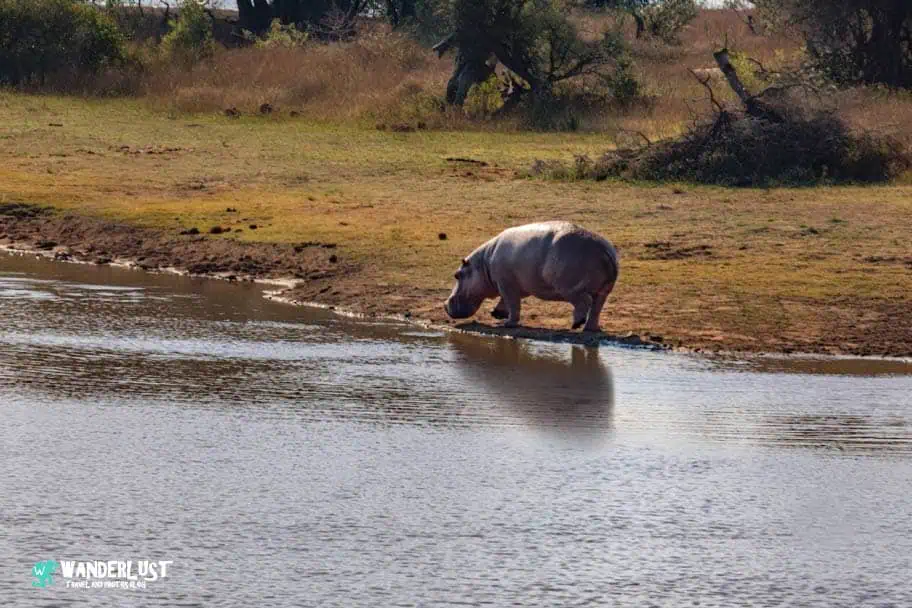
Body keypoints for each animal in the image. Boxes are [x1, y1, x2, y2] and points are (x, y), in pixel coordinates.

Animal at [444, 222, 619, 331]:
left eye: (457, 275)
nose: (445, 305)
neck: (483, 263)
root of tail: (605, 250)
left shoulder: (506, 283)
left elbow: (512, 302)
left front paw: (508, 324)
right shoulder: (518, 284)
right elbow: (507, 300)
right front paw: (497, 314)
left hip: (569, 288)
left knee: (584, 302)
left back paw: (576, 324)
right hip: (604, 290)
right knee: (596, 308)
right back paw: (591, 329)